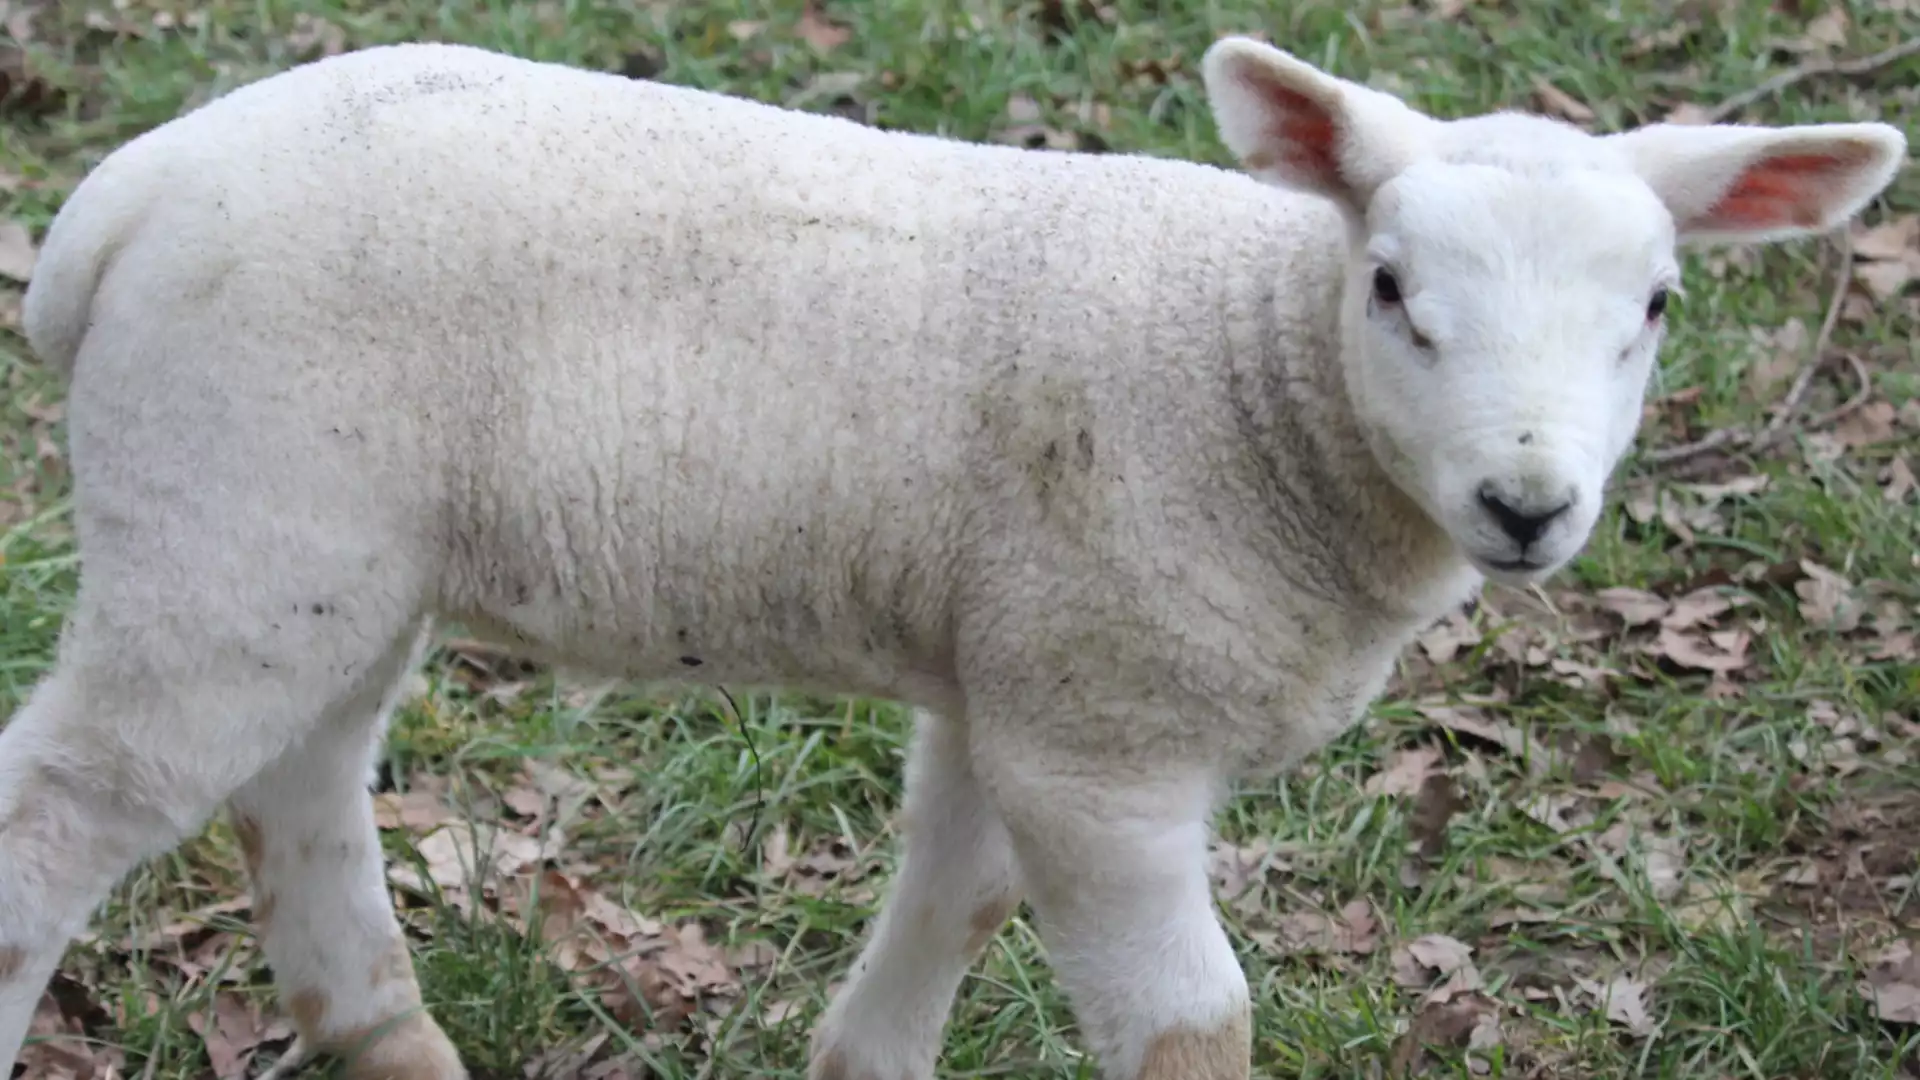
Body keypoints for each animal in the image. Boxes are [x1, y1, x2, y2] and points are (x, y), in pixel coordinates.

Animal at [0, 29, 1904, 1076]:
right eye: (1389, 292)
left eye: (1654, 309)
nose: (1526, 504)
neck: (1251, 382)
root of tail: (120, 204)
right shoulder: (1108, 728)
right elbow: (1191, 1023)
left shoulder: (1028, 667)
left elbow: (959, 887)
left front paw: (862, 1058)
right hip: (233, 508)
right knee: (68, 808)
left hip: (323, 547)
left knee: (301, 772)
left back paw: (389, 1035)